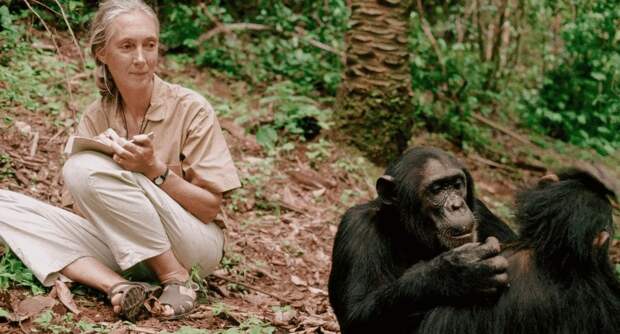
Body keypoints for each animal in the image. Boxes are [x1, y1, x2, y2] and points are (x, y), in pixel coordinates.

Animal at [330, 147, 520, 332]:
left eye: (457, 185)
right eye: (437, 190)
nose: (457, 205)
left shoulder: (483, 213)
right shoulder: (356, 227)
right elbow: (355, 313)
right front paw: (455, 273)